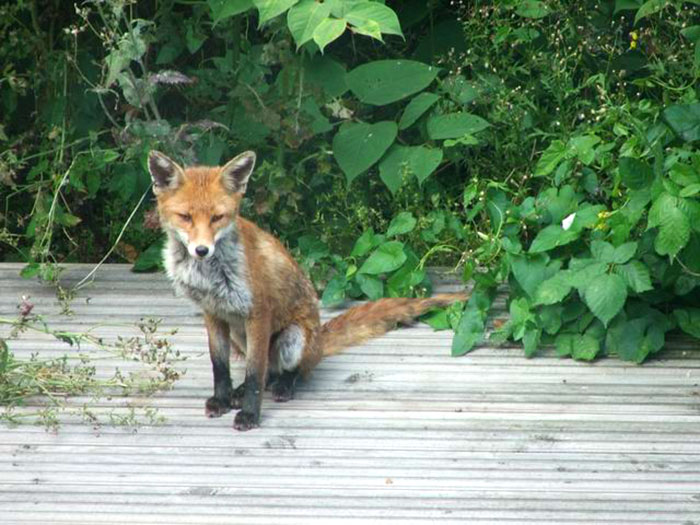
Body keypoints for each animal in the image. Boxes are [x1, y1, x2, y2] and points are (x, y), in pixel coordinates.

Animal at [148, 149, 468, 431]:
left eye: (217, 218)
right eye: (186, 217)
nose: (202, 250)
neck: (208, 276)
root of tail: (320, 341)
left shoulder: (258, 313)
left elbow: (254, 376)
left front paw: (250, 415)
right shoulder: (213, 313)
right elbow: (220, 367)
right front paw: (222, 400)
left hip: (292, 338)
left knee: (286, 371)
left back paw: (284, 387)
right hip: (241, 336)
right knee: (268, 369)